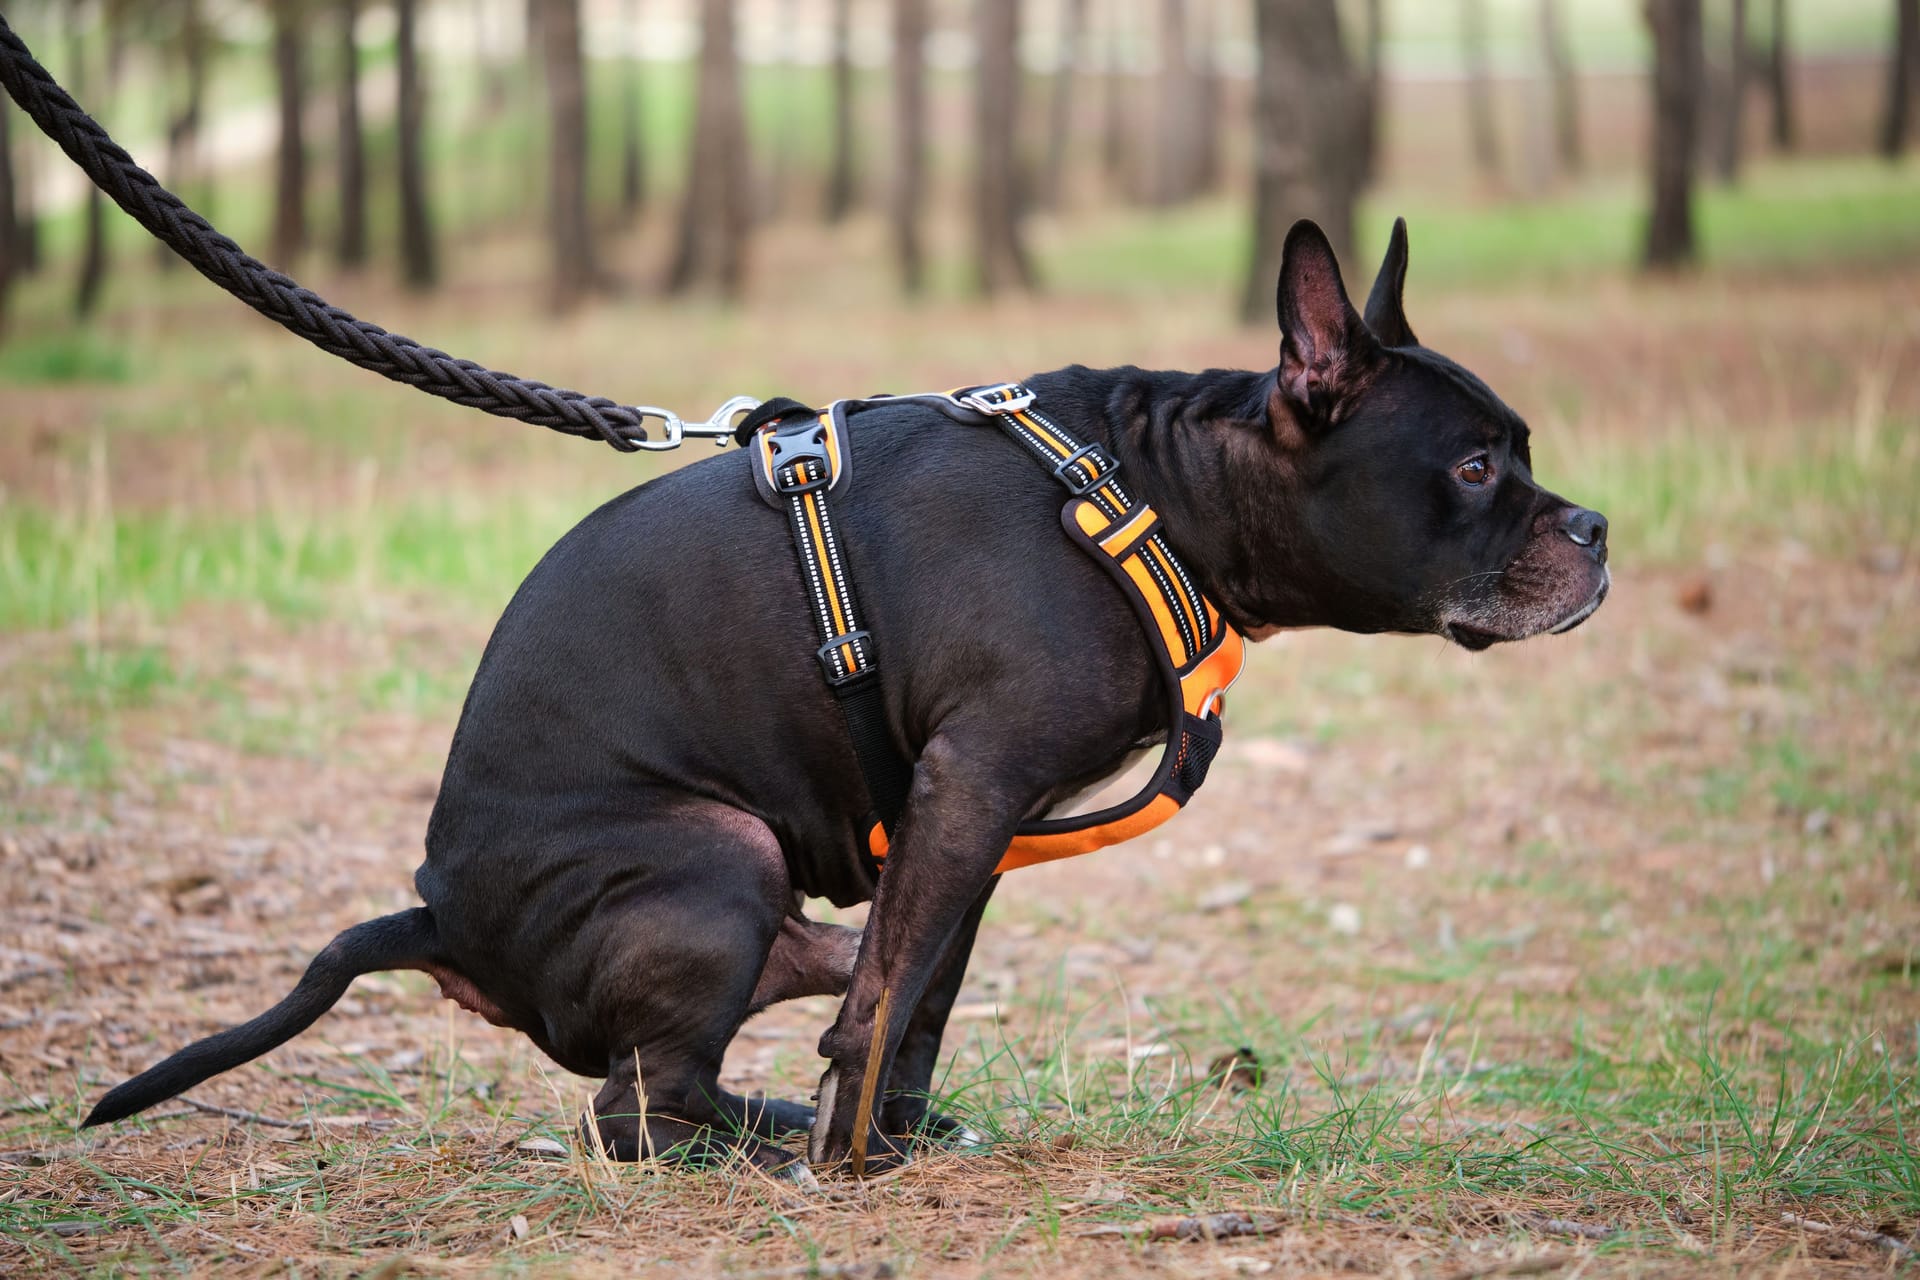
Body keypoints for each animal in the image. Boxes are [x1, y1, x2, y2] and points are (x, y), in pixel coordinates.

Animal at [82, 220, 1605, 1174]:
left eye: (1523, 452)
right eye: (1476, 467)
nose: (1596, 530)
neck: (1154, 488)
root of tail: (438, 911)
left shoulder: (973, 817)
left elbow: (919, 991)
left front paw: (890, 1136)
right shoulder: (972, 788)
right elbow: (889, 1003)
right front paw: (850, 1162)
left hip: (795, 890)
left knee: (768, 1010)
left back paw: (776, 1101)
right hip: (720, 856)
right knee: (635, 1110)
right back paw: (757, 1145)